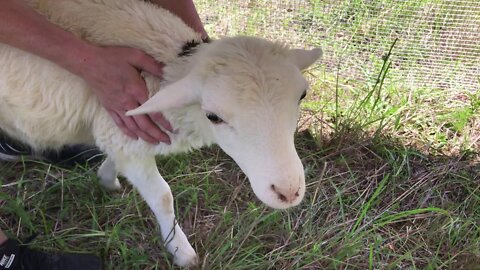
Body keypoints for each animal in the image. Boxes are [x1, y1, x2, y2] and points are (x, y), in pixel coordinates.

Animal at [0, 0, 322, 266]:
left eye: (302, 96)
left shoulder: (122, 131)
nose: (287, 192)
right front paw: (181, 251)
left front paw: (107, 178)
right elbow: (163, 197)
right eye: (213, 116)